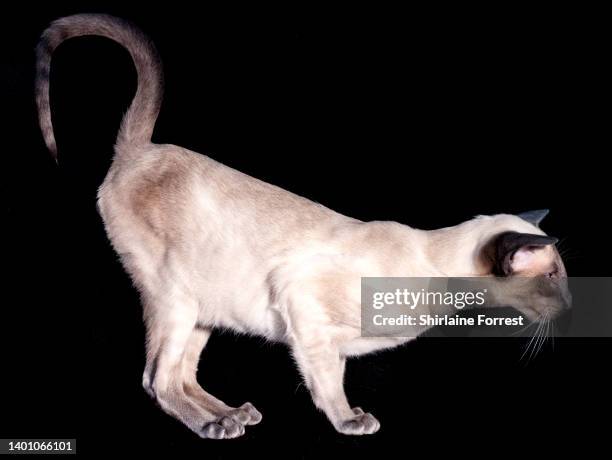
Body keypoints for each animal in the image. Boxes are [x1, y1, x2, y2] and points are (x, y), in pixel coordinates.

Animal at [35, 13, 572, 438]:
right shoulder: (304, 309)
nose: (569, 306)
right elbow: (326, 382)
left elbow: (333, 373)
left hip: (206, 307)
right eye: (553, 277)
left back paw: (233, 413)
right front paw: (350, 420)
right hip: (175, 297)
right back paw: (213, 425)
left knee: (182, 375)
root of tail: (140, 150)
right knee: (157, 380)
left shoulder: (325, 333)